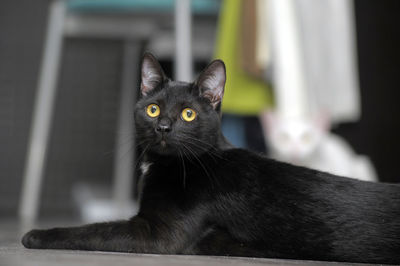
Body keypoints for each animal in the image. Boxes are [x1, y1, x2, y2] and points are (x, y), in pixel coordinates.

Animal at [22, 52, 400, 264]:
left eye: (188, 114)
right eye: (153, 108)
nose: (163, 126)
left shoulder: (158, 233)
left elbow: (95, 229)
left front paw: (34, 235)